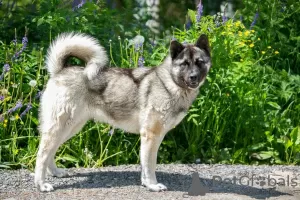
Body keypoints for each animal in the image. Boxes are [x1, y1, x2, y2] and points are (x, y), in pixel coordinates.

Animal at [34, 32, 211, 192]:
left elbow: (146, 164)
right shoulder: (151, 135)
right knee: (42, 155)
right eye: (184, 64)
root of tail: (59, 71)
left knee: (50, 152)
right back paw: (41, 185)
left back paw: (55, 172)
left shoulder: (154, 137)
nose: (194, 77)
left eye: (199, 62)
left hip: (70, 128)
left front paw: (146, 183)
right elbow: (150, 165)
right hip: (60, 127)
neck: (169, 84)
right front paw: (152, 185)